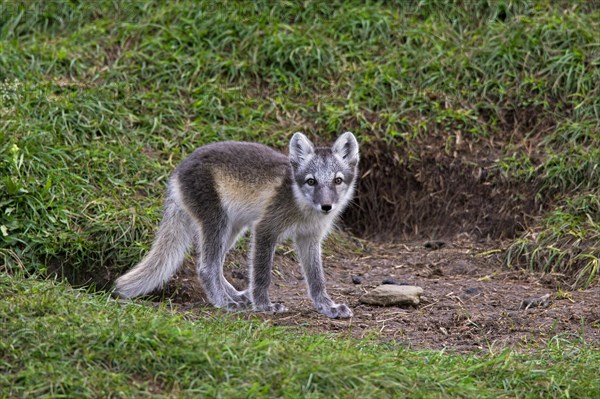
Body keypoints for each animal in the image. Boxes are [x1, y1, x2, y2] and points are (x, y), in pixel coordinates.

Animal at [114, 133, 358, 320]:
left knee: (212, 264)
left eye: (337, 181)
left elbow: (317, 279)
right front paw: (264, 305)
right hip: (217, 222)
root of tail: (177, 171)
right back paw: (224, 301)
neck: (301, 206)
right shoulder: (265, 229)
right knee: (206, 267)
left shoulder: (310, 239)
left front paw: (327, 306)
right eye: (311, 181)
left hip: (233, 229)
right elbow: (261, 275)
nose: (326, 206)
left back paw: (235, 296)